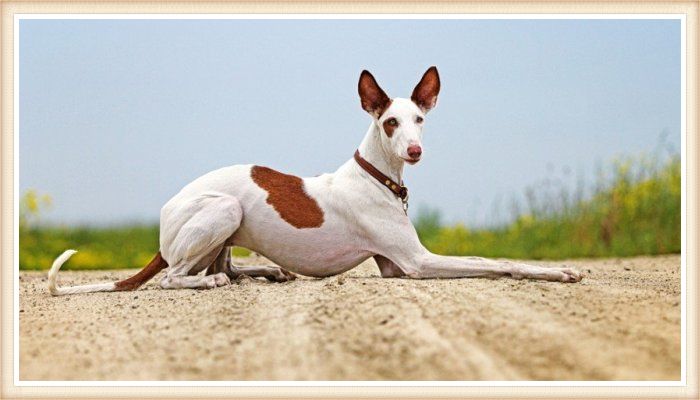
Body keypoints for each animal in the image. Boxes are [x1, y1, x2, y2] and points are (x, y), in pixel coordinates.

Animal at [49, 66, 584, 296]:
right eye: (390, 122)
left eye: (420, 119)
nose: (414, 151)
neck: (377, 177)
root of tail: (164, 220)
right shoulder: (415, 263)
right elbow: (497, 262)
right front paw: (560, 272)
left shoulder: (393, 266)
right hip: (224, 209)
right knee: (177, 277)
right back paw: (213, 280)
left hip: (227, 229)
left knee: (227, 267)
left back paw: (266, 272)